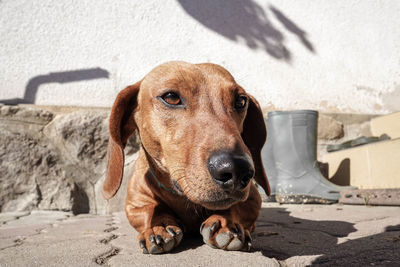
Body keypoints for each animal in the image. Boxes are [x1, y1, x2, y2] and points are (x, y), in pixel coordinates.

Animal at [101, 61, 270, 255]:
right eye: (171, 97)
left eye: (241, 101)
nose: (237, 168)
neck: (183, 197)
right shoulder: (135, 204)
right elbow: (149, 210)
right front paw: (158, 226)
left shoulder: (252, 198)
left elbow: (237, 207)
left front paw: (228, 223)